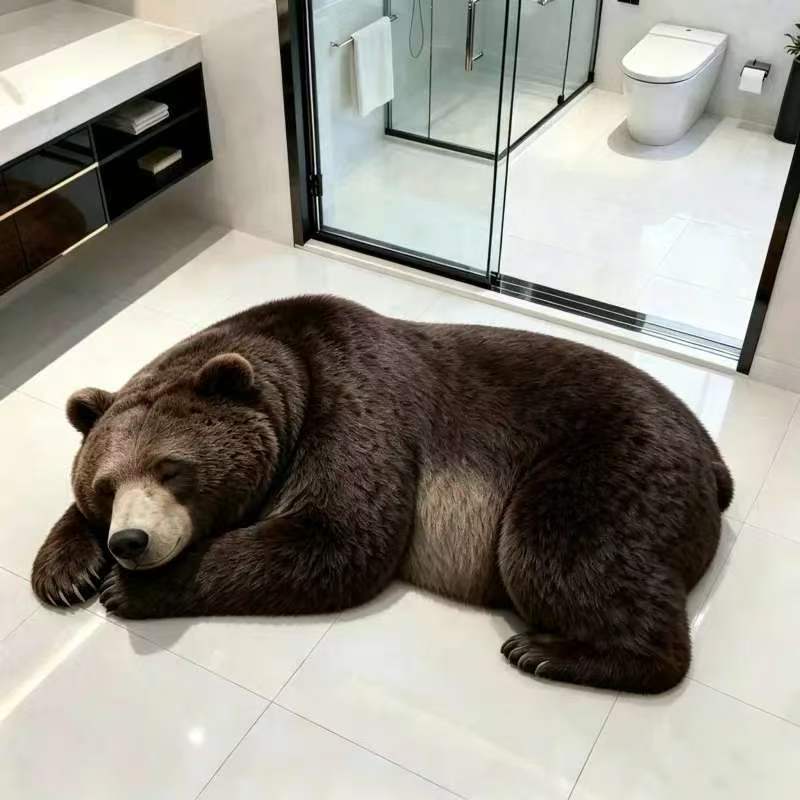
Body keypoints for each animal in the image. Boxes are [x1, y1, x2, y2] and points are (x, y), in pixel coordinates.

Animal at [31, 294, 732, 694]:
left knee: (557, 549)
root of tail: (714, 458)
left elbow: (339, 535)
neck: (287, 368)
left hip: (610, 460)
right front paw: (63, 572)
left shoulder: (356, 402)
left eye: (173, 469)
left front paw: (131, 590)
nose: (130, 541)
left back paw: (549, 652)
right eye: (105, 486)